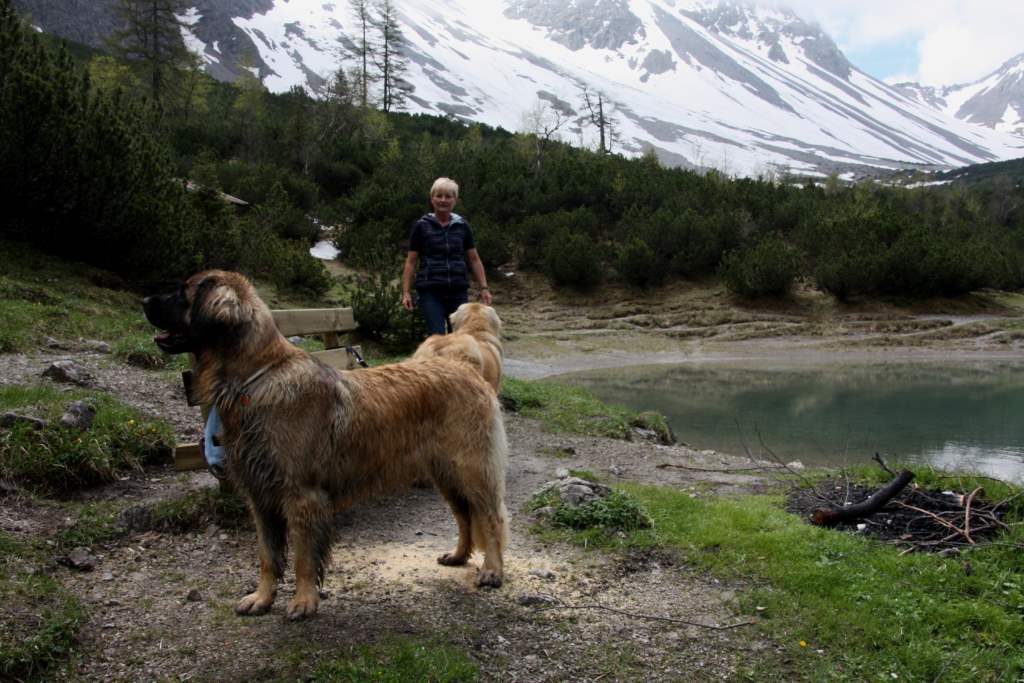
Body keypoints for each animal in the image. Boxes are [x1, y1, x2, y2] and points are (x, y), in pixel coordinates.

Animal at [142, 270, 509, 618]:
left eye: (182, 291)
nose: (144, 300)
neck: (257, 379)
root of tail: (464, 366)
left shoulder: (301, 496)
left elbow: (303, 557)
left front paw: (304, 601)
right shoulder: (260, 496)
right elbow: (268, 556)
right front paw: (262, 598)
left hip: (471, 467)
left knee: (490, 516)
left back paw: (492, 570)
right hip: (444, 473)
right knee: (464, 515)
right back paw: (458, 555)